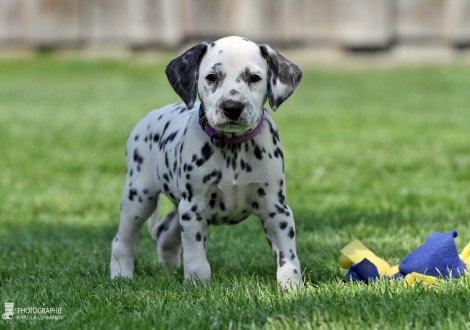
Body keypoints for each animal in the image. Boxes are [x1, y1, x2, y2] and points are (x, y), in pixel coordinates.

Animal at [109, 36, 302, 288]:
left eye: (254, 77)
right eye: (212, 77)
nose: (232, 107)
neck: (233, 149)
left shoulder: (276, 210)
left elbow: (287, 255)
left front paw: (292, 287)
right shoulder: (194, 209)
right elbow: (196, 257)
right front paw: (197, 286)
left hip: (176, 206)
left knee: (164, 234)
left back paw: (169, 271)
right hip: (139, 198)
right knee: (122, 241)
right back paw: (121, 275)